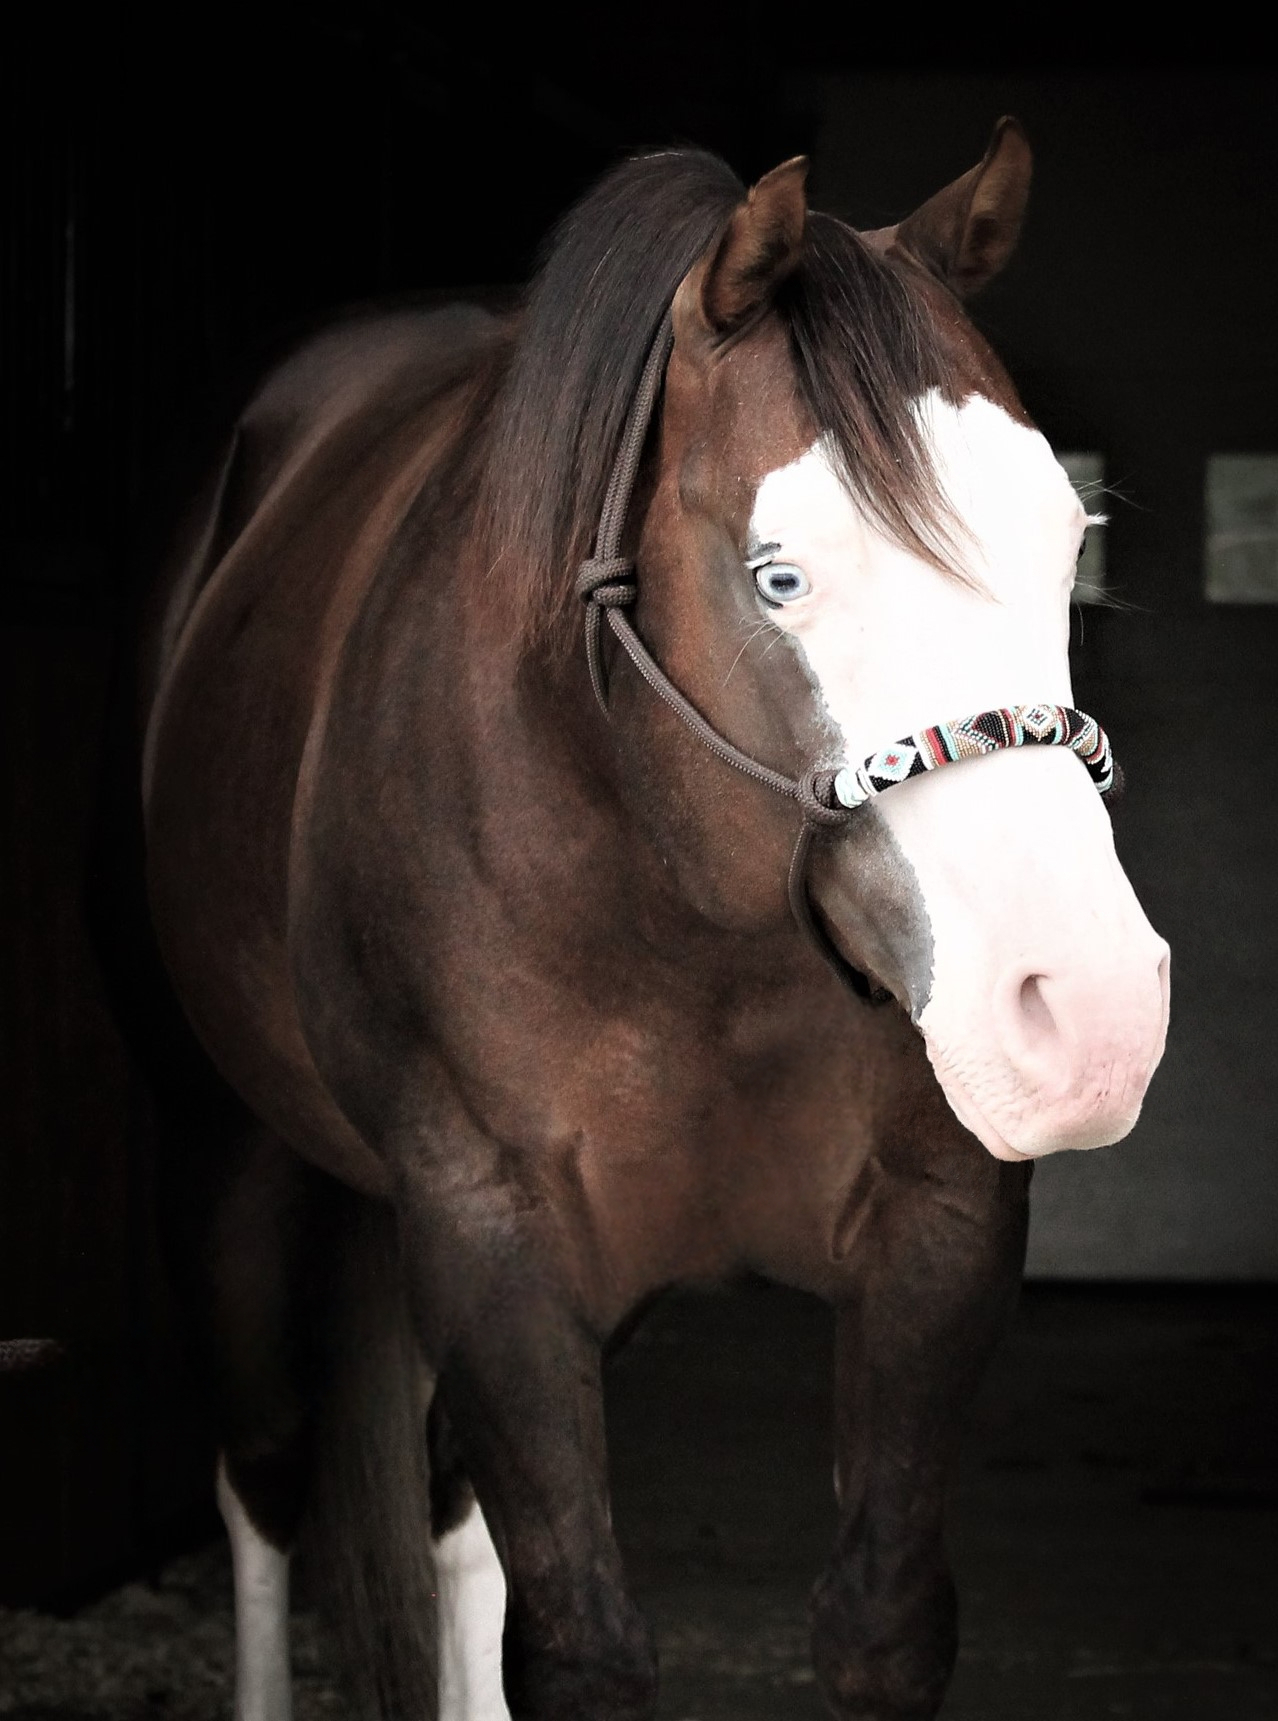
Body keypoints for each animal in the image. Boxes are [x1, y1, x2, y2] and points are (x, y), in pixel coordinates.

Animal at [133, 119, 1170, 1721]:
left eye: (1070, 539)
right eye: (778, 574)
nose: (1092, 1017)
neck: (688, 922)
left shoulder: (939, 1228)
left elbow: (874, 1621)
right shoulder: (490, 1232)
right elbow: (578, 1645)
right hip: (220, 1138)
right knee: (264, 1472)